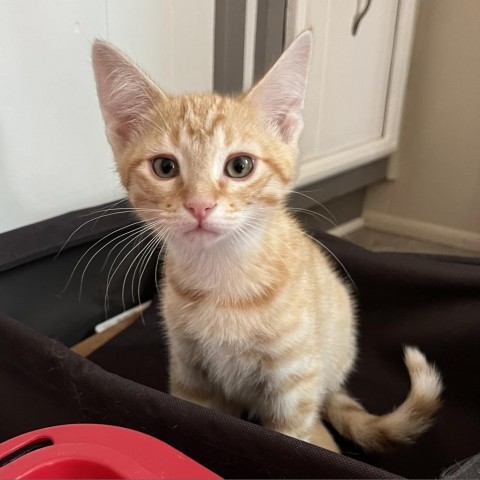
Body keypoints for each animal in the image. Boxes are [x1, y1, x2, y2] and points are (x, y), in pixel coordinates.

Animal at [92, 31, 440, 452]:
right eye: (164, 167)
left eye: (239, 166)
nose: (199, 205)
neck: (222, 277)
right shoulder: (190, 373)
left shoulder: (295, 382)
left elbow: (291, 437)